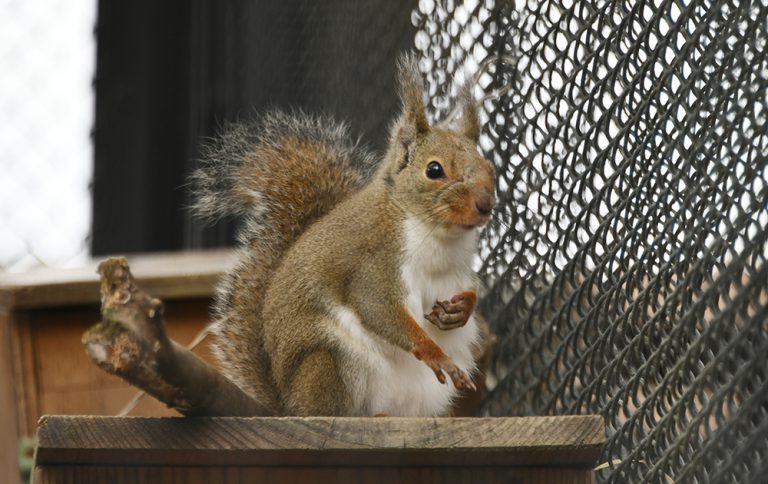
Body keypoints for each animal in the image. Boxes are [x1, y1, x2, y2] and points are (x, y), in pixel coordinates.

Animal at [192, 54, 498, 416]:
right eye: (434, 170)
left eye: (491, 168)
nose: (485, 205)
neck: (436, 234)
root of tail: (287, 403)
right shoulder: (374, 266)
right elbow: (378, 309)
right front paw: (435, 354)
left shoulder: (456, 272)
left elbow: (471, 289)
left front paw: (461, 310)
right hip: (331, 361)